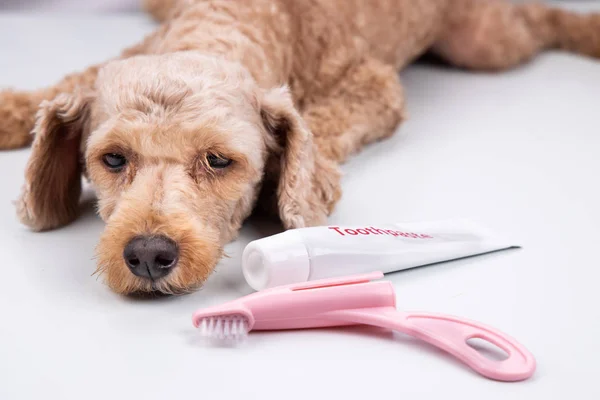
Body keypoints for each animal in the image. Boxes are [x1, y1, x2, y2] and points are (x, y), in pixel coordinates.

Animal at [1, 0, 600, 294]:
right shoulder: (128, 54)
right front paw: (13, 108)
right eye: (114, 158)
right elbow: (68, 81)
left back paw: (586, 30)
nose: (148, 254)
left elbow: (320, 134)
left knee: (541, 19)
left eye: (218, 160)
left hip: (486, 42)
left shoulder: (372, 83)